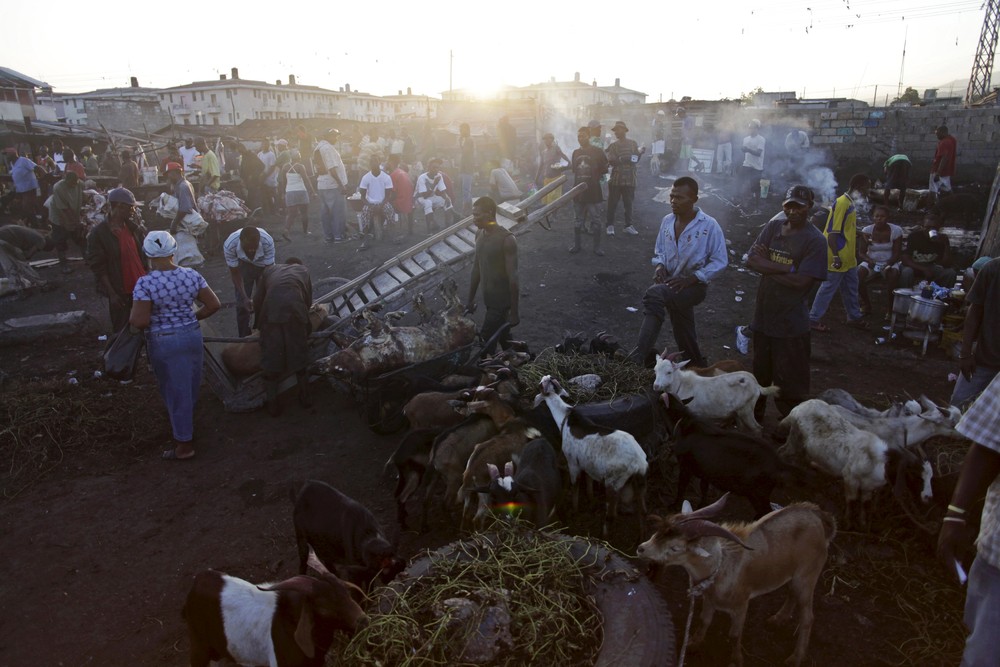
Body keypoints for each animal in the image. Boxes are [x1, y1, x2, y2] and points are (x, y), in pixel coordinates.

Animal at [182, 552, 366, 667]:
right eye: (323, 607)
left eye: (346, 592)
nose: (364, 620)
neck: (291, 622)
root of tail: (197, 583)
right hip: (199, 648)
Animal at [532, 376, 648, 536]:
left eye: (540, 384)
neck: (565, 419)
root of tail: (638, 463)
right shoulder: (587, 463)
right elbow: (588, 481)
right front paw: (591, 499)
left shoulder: (573, 463)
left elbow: (575, 486)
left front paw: (574, 511)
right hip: (640, 483)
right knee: (642, 511)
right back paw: (641, 536)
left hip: (614, 482)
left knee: (610, 516)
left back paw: (604, 536)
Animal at [636, 494, 832, 667]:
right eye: (658, 532)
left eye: (675, 547)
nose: (641, 548)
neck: (721, 566)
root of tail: (819, 518)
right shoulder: (709, 599)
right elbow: (704, 620)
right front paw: (693, 644)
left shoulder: (741, 605)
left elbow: (734, 635)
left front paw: (736, 660)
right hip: (795, 574)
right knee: (792, 591)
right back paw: (777, 619)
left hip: (808, 574)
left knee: (807, 617)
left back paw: (795, 658)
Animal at [648, 354, 780, 434]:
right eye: (655, 370)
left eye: (669, 372)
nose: (656, 386)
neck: (682, 385)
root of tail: (756, 385)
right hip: (738, 412)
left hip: (746, 410)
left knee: (758, 429)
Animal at [664, 394, 804, 520]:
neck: (684, 423)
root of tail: (778, 463)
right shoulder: (706, 471)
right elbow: (704, 488)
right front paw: (702, 505)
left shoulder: (685, 467)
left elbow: (681, 487)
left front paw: (673, 505)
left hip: (758, 494)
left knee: (766, 511)